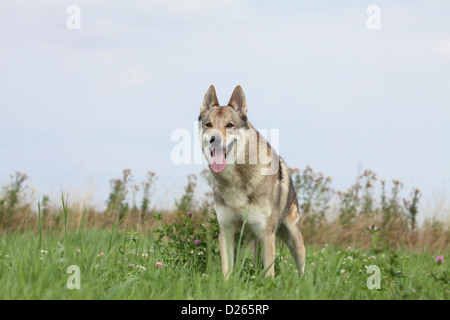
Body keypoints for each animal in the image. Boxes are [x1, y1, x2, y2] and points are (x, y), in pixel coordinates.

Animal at [198, 86, 306, 278]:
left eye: (229, 125)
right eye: (208, 125)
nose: (214, 139)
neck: (236, 180)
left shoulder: (266, 233)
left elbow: (269, 273)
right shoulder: (226, 231)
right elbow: (227, 270)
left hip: (292, 238)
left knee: (302, 268)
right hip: (246, 240)